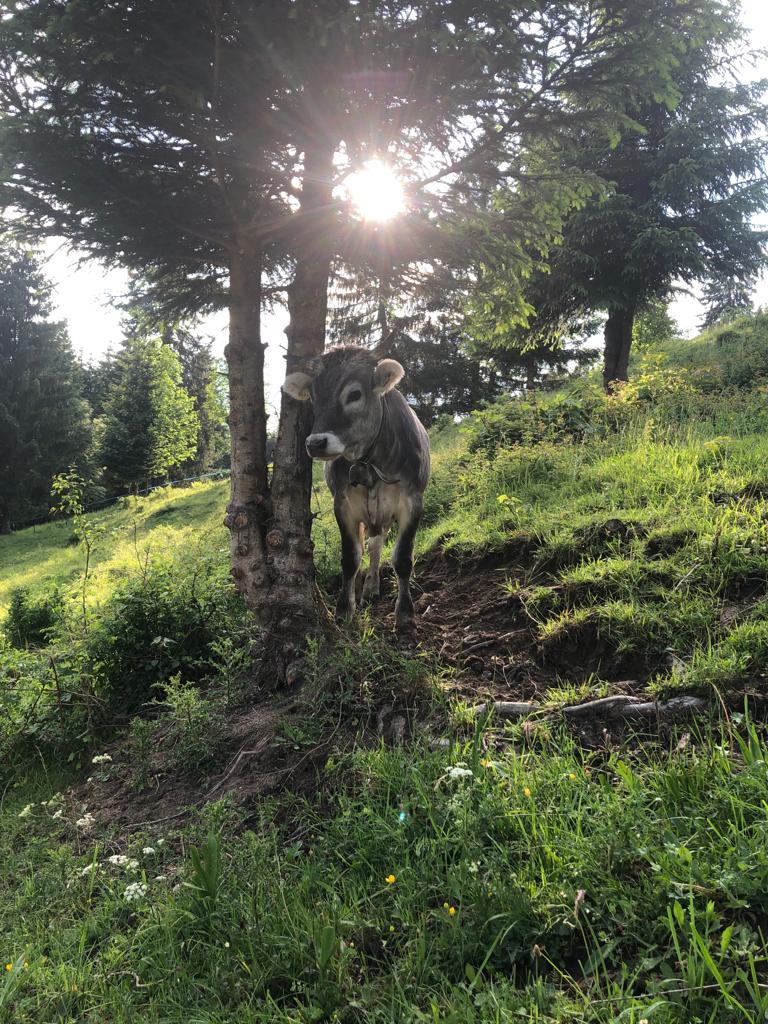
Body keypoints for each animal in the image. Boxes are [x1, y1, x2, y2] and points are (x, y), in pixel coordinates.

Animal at [282, 346, 430, 632]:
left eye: (354, 394)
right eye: (313, 397)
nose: (316, 443)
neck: (368, 464)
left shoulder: (413, 500)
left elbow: (402, 557)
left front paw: (405, 614)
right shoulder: (343, 505)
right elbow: (351, 558)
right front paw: (344, 609)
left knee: (377, 543)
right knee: (373, 545)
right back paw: (369, 587)